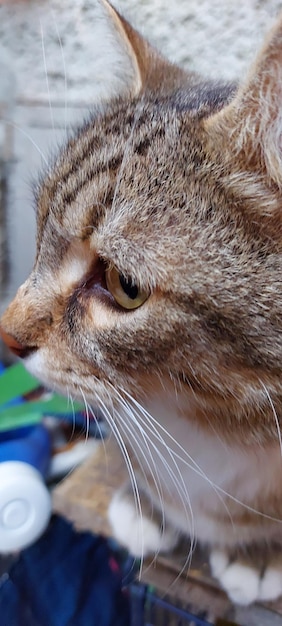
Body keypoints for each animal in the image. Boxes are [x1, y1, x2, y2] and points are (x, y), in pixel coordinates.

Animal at [1, 0, 282, 604]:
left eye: (125, 286)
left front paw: (258, 552)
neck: (206, 423)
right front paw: (144, 503)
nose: (6, 335)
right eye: (38, 229)